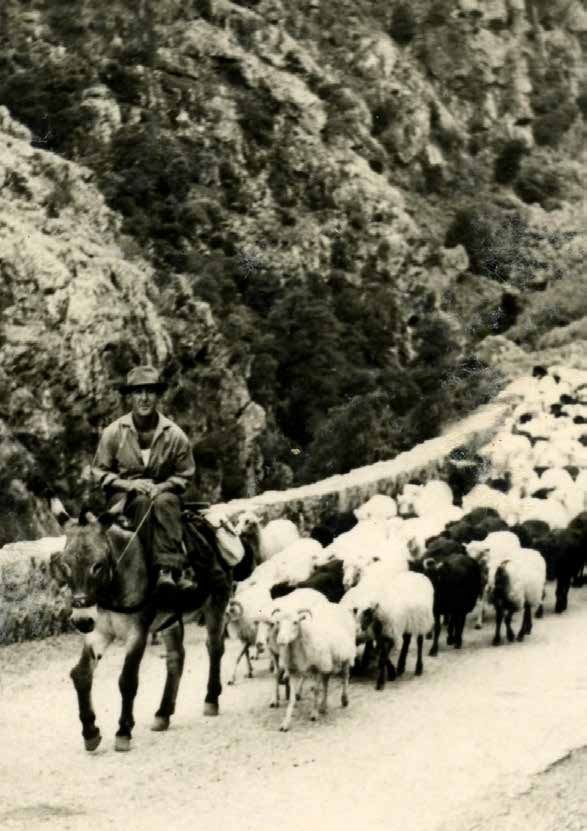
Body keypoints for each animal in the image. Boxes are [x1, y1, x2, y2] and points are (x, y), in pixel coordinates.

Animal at [268, 596, 356, 732]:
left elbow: (316, 691)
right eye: (278, 622)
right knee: (326, 682)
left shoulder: (317, 668)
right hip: (327, 661)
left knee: (345, 677)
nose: (281, 640)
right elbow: (292, 698)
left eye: (295, 622)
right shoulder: (294, 671)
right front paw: (286, 723)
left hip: (345, 655)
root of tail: (334, 604)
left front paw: (314, 714)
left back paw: (344, 699)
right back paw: (323, 706)